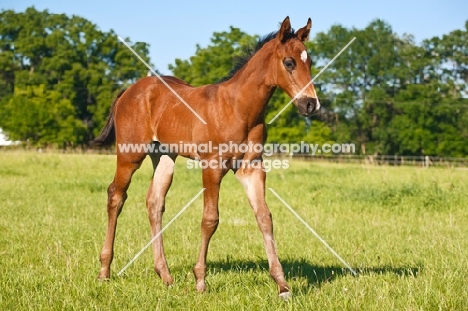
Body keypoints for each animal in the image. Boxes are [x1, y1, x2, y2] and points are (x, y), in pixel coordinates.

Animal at [92, 17, 318, 300]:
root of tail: (128, 91)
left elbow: (265, 217)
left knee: (154, 202)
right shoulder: (212, 166)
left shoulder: (252, 168)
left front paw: (282, 285)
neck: (239, 109)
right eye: (289, 62)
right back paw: (104, 271)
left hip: (164, 156)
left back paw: (165, 276)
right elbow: (210, 219)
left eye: (310, 62)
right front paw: (200, 281)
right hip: (130, 154)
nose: (311, 105)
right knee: (116, 196)